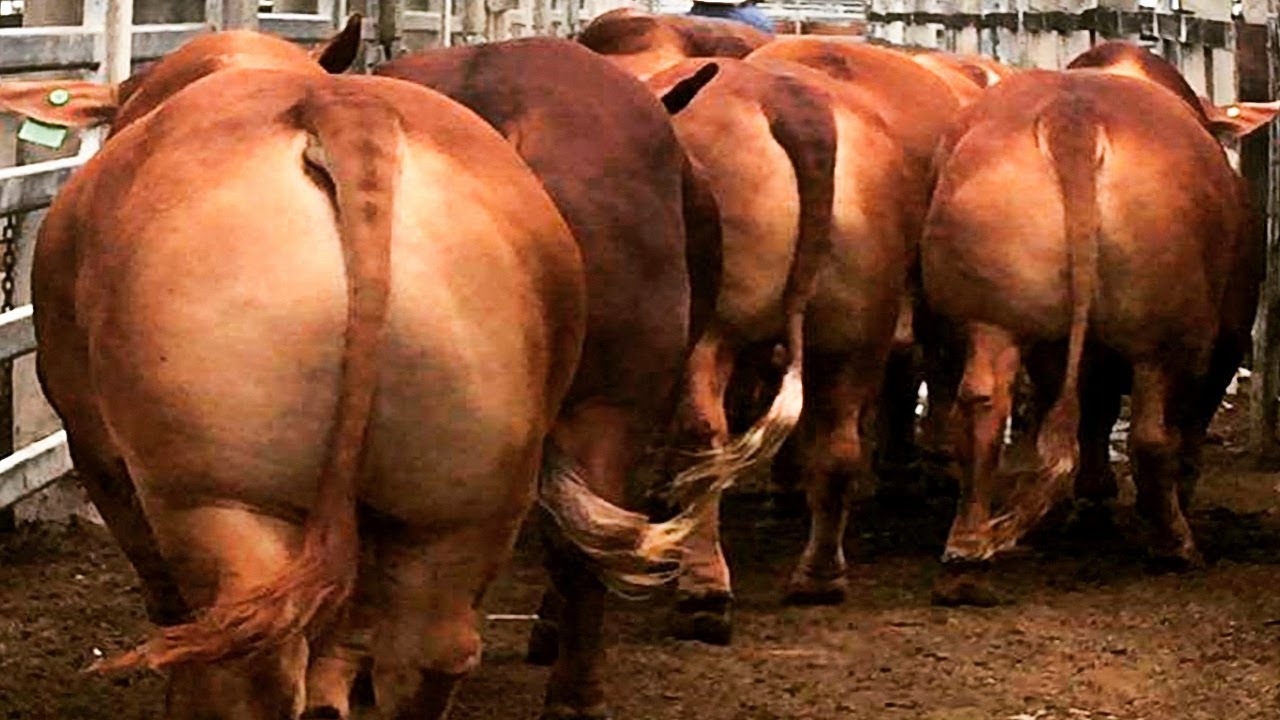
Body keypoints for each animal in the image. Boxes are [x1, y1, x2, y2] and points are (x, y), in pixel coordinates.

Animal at [643, 55, 910, 643]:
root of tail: (794, 108)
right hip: (857, 332)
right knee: (838, 444)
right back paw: (819, 578)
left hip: (712, 325)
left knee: (703, 433)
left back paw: (702, 592)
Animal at [921, 43, 1279, 606]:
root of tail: (1073, 118)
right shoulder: (1224, 339)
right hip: (1164, 331)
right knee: (1153, 434)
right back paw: (1173, 543)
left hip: (993, 314)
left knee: (984, 406)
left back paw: (967, 550)